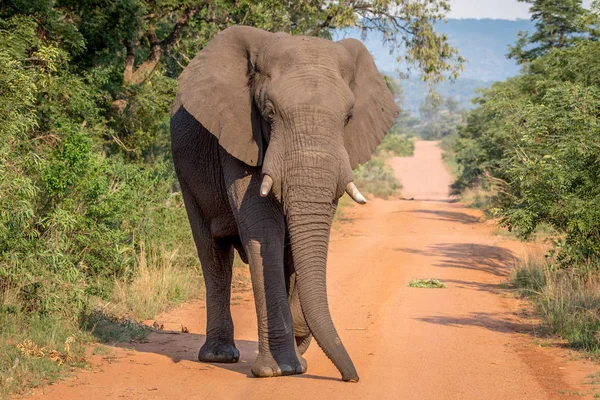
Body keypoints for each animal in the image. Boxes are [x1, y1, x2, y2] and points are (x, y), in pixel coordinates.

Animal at [170, 25, 398, 382]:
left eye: (348, 118)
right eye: (269, 113)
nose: (352, 378)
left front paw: (296, 358)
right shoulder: (238, 131)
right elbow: (264, 232)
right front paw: (279, 370)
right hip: (185, 171)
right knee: (213, 253)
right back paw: (220, 356)